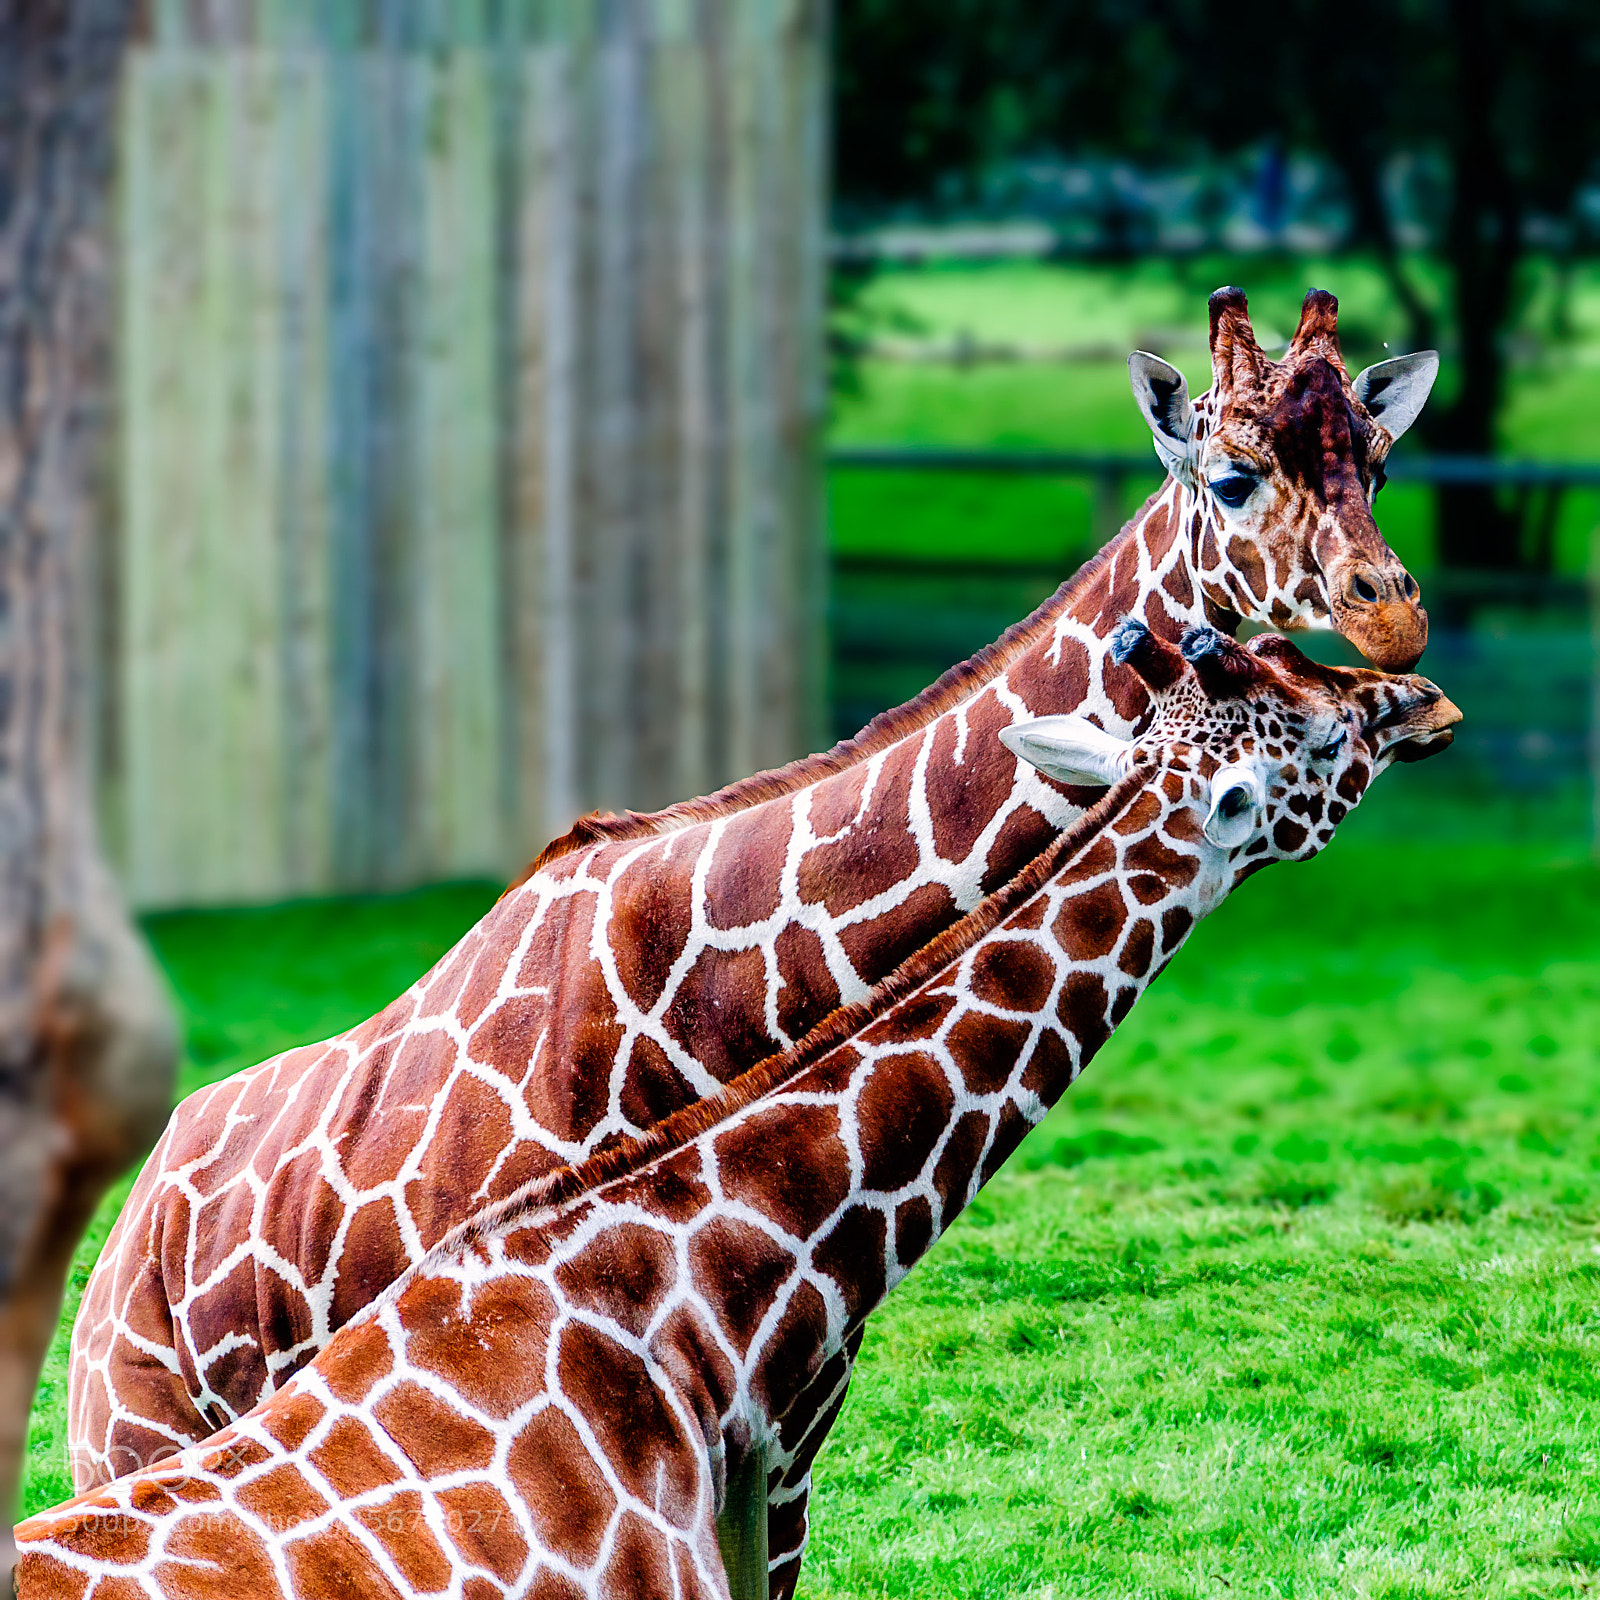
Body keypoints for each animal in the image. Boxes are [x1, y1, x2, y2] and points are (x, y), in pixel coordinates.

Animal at [67, 286, 1439, 1595]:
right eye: (1231, 475)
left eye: (1378, 459)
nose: (1398, 636)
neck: (741, 986)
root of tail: (136, 1224)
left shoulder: (785, 1434)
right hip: (139, 1436)